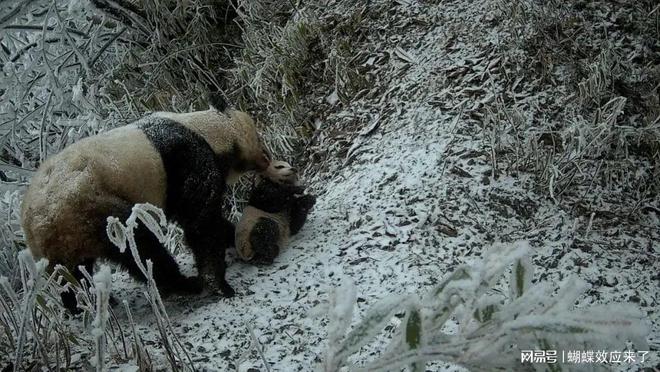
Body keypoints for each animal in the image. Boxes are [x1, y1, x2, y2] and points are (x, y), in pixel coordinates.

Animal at [21, 97, 270, 312]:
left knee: (72, 275)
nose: (267, 158)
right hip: (92, 210)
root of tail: (35, 225)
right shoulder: (185, 161)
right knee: (139, 247)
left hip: (65, 242)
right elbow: (201, 223)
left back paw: (84, 305)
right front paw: (219, 283)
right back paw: (184, 284)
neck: (202, 128)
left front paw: (238, 237)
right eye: (258, 138)